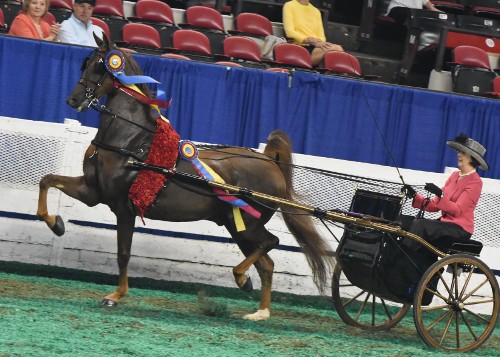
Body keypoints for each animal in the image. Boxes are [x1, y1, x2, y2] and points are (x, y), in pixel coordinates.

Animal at [34, 34, 332, 320]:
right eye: (85, 63)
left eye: (99, 66)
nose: (73, 100)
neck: (131, 142)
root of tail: (269, 161)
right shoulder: (92, 192)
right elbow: (47, 180)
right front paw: (56, 224)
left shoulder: (123, 207)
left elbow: (123, 253)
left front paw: (116, 295)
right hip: (237, 226)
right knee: (267, 263)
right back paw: (259, 311)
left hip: (248, 223)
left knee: (271, 244)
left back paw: (242, 280)